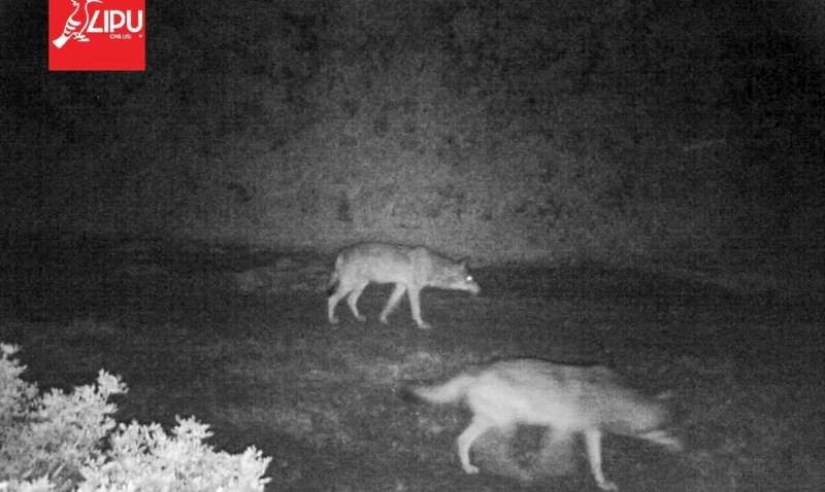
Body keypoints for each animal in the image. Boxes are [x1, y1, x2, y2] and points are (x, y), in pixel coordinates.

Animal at [326, 242, 480, 329]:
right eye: (470, 278)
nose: (480, 289)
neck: (432, 266)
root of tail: (341, 253)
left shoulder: (401, 286)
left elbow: (389, 304)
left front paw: (382, 319)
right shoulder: (413, 288)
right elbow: (416, 309)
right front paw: (421, 324)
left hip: (360, 285)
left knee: (350, 300)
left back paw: (358, 317)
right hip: (350, 285)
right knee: (332, 299)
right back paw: (331, 320)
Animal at [402, 359, 682, 491]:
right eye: (665, 429)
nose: (682, 444)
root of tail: (477, 370)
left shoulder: (591, 431)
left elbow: (597, 462)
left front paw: (601, 482)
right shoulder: (562, 430)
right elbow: (553, 457)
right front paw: (550, 472)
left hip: (491, 421)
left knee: (464, 441)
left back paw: (469, 467)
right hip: (506, 423)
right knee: (492, 449)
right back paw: (514, 471)